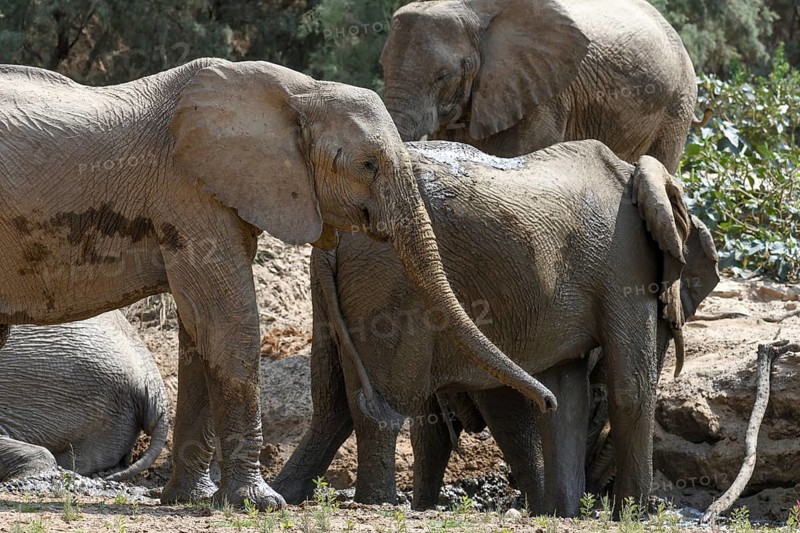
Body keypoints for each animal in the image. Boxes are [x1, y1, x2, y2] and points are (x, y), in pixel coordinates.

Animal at [274, 140, 720, 515]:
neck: (639, 170)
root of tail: (336, 237)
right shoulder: (624, 261)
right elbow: (631, 387)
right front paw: (633, 517)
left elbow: (567, 399)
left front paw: (562, 514)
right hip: (387, 283)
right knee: (383, 403)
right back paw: (378, 504)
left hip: (338, 290)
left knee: (332, 404)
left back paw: (288, 496)